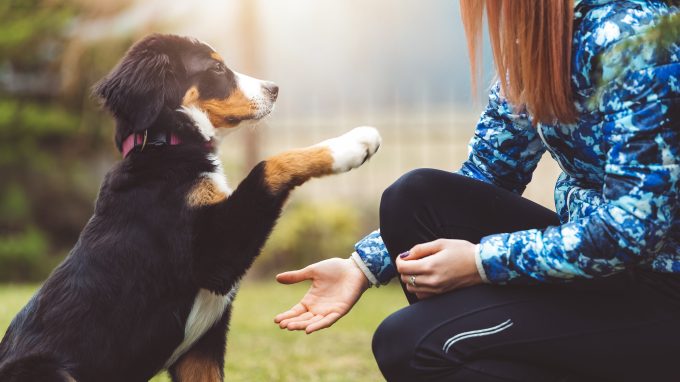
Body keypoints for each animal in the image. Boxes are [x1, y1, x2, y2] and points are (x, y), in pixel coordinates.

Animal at [0, 33, 382, 382]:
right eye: (216, 68)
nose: (274, 88)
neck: (164, 146)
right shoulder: (213, 254)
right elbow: (269, 165)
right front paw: (351, 145)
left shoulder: (201, 349)